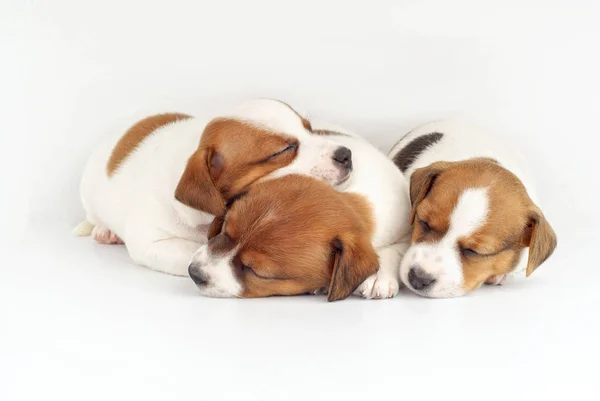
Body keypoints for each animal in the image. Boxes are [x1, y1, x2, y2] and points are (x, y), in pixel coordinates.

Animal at [77, 99, 354, 276]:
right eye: (282, 151)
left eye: (310, 129)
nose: (346, 154)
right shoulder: (151, 243)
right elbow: (193, 251)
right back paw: (104, 231)